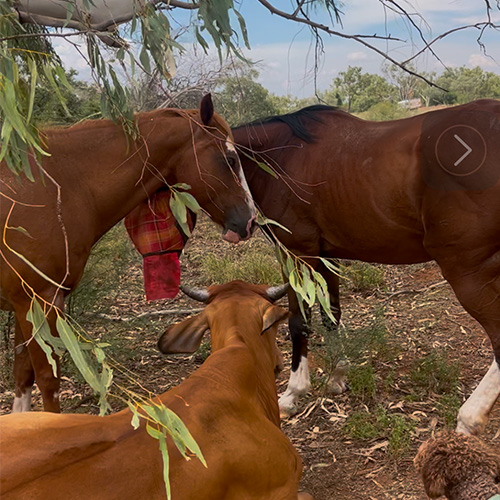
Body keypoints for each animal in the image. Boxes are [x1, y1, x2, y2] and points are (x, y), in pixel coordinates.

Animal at [0, 95, 256, 412]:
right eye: (230, 159)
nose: (250, 221)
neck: (60, 186)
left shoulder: (24, 305)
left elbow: (22, 375)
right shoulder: (38, 301)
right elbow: (48, 381)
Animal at [232, 98, 500, 434]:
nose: (239, 226)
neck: (279, 154)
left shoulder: (296, 256)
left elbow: (298, 322)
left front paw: (293, 393)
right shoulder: (326, 257)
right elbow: (331, 315)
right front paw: (337, 377)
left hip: (469, 274)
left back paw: (469, 418)